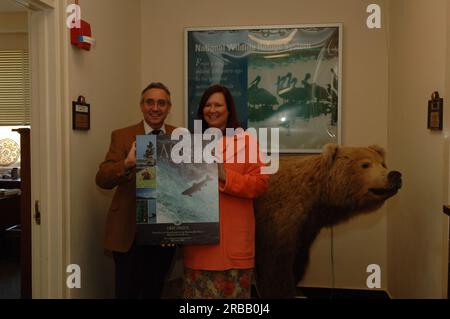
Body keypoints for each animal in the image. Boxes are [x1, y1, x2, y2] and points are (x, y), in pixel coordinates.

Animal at [255, 145, 402, 300]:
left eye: (383, 164)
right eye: (365, 164)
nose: (395, 175)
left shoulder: (306, 228)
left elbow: (298, 258)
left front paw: (297, 290)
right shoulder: (276, 219)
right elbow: (275, 264)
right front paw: (283, 292)